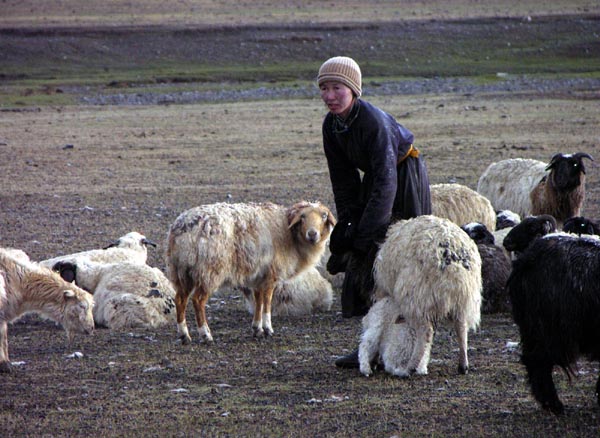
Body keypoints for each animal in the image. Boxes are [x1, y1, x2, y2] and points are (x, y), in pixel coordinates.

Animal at [165, 201, 336, 344]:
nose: (312, 234)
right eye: (303, 216)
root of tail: (183, 227)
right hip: (209, 270)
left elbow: (258, 301)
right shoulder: (271, 274)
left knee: (180, 300)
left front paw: (257, 328)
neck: (290, 234)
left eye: (324, 216)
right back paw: (205, 334)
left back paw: (184, 335)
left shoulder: (258, 276)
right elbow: (267, 302)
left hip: (182, 271)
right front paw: (268, 328)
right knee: (198, 300)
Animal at [372, 215, 482, 375]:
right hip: (463, 299)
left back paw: (411, 367)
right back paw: (463, 365)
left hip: (417, 297)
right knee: (461, 328)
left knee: (426, 331)